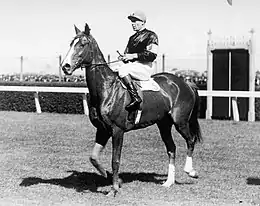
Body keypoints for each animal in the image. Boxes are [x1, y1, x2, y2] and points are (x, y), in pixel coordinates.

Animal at [62, 23, 202, 196]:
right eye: (71, 43)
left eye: (83, 44)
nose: (65, 66)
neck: (107, 89)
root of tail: (185, 83)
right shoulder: (102, 130)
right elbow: (93, 158)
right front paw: (114, 179)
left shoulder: (117, 130)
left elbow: (115, 160)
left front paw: (114, 189)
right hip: (164, 124)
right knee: (171, 148)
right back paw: (169, 182)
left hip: (180, 122)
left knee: (190, 140)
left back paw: (191, 171)